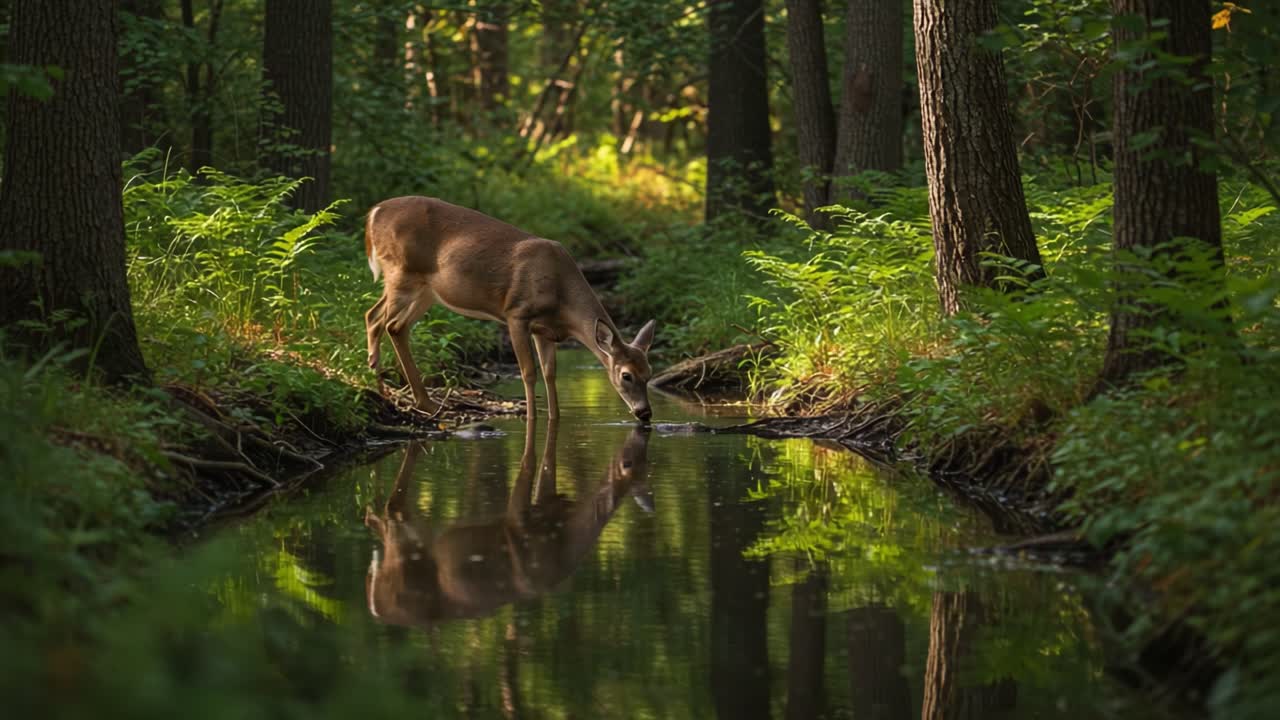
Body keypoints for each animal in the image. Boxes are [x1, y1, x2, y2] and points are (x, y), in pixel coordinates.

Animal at [363, 196, 657, 421]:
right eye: (626, 375)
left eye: (650, 373)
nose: (645, 413)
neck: (561, 296)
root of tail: (374, 212)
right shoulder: (516, 313)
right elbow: (528, 372)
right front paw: (532, 417)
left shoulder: (545, 331)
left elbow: (550, 374)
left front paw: (555, 417)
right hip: (401, 272)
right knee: (382, 321)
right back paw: (404, 397)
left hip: (426, 291)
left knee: (386, 322)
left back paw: (402, 395)